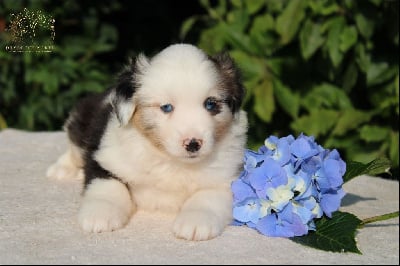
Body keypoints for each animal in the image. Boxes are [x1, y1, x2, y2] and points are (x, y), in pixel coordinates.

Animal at [46, 44, 247, 241]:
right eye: (167, 107)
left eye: (210, 104)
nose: (193, 144)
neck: (170, 161)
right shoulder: (104, 155)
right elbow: (108, 184)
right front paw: (99, 215)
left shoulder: (227, 177)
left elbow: (208, 196)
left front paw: (195, 222)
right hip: (80, 121)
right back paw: (62, 170)